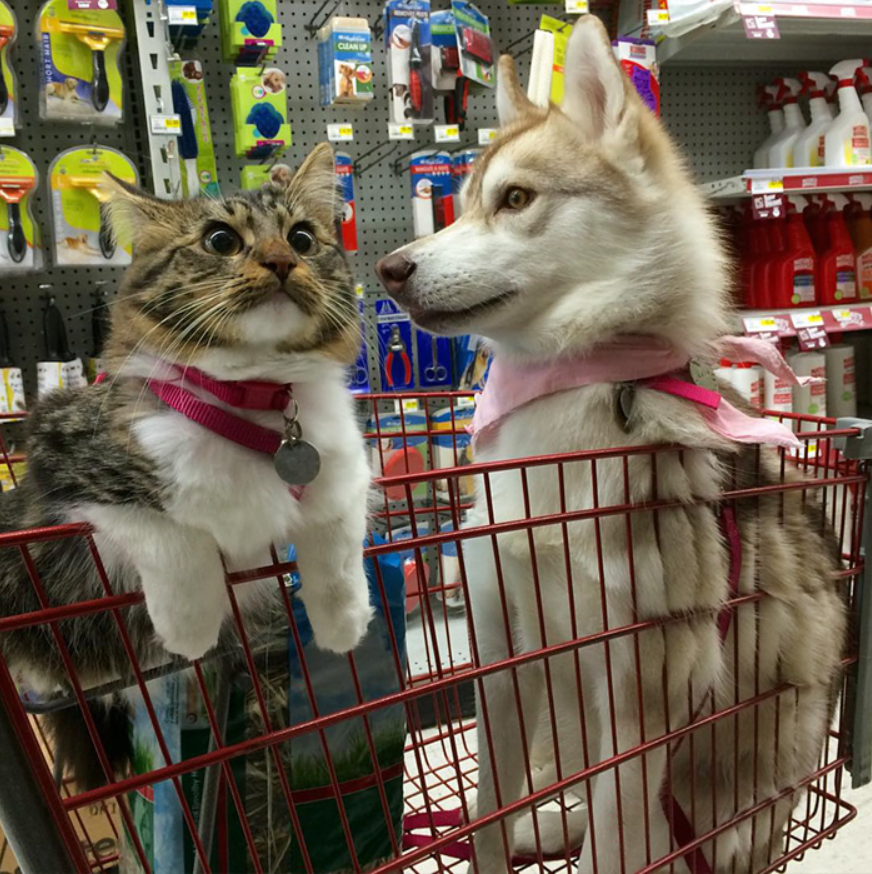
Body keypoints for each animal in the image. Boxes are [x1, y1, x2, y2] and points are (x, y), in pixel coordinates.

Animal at [378, 13, 848, 872]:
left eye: (516, 199)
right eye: (462, 204)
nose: (389, 268)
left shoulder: (641, 699)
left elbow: (608, 842)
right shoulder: (503, 660)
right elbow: (489, 807)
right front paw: (497, 838)